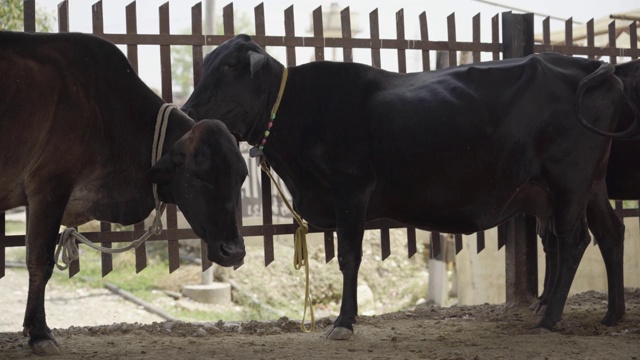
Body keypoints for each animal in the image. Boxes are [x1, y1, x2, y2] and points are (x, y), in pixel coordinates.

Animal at [0, 30, 248, 354]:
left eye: (242, 176)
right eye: (197, 174)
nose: (234, 251)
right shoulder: (49, 187)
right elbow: (40, 261)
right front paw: (40, 333)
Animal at [184, 34, 636, 340]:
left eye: (230, 67)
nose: (188, 110)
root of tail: (590, 67)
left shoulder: (351, 190)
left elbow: (349, 258)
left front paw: (343, 322)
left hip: (568, 180)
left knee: (574, 240)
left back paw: (549, 318)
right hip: (591, 184)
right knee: (610, 233)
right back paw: (613, 314)